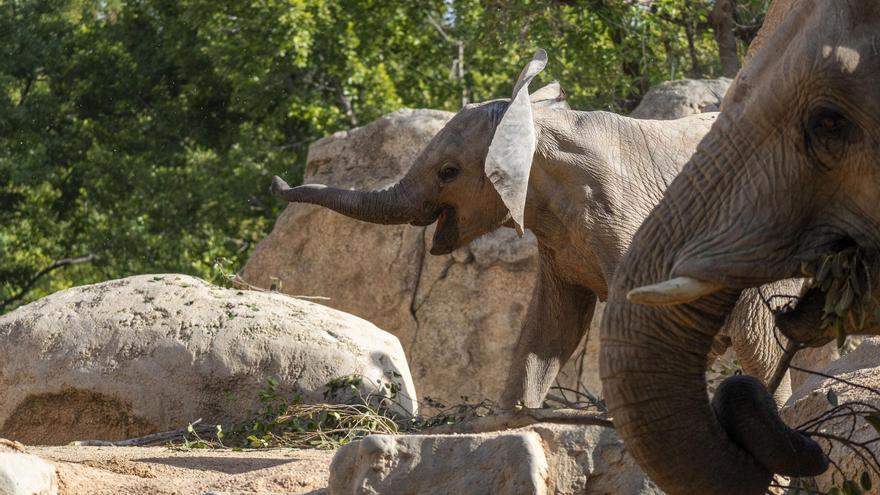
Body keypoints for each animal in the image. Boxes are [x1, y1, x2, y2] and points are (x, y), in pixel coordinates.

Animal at [272, 48, 796, 408]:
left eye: (448, 172)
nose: (278, 182)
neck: (535, 121)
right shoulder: (559, 237)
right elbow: (552, 324)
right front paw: (510, 418)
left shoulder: (621, 217)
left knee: (759, 342)